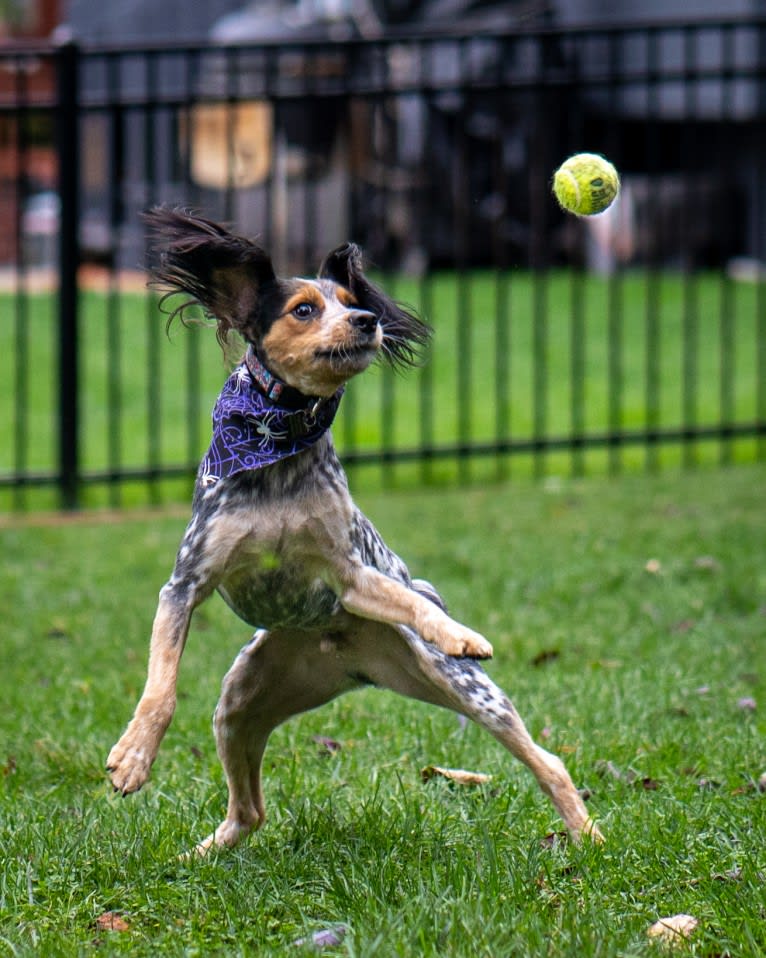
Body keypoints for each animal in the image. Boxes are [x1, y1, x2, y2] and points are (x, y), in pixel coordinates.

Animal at [106, 210, 608, 856]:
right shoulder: (186, 582)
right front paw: (133, 758)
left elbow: (405, 599)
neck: (275, 453)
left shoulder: (347, 575)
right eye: (303, 309)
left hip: (464, 689)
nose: (368, 321)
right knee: (250, 809)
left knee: (547, 760)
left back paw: (587, 832)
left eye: (351, 302)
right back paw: (203, 854)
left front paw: (458, 631)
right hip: (242, 699)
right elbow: (161, 686)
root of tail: (349, 660)